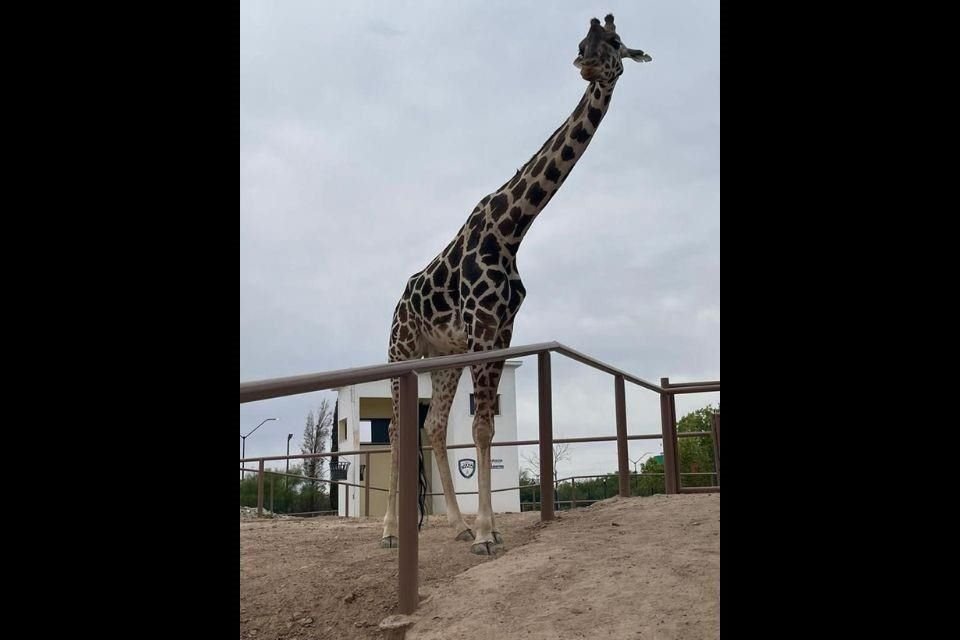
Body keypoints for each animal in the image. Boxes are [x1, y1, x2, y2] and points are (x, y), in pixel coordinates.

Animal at [378, 15, 648, 556]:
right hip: (401, 350)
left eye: (613, 43)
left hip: (442, 359)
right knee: (397, 428)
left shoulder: (502, 330)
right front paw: (487, 533)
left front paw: (481, 529)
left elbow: (480, 428)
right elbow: (481, 427)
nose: (587, 66)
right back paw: (392, 532)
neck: (512, 229)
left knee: (433, 427)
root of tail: (396, 305)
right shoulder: (483, 326)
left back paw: (455, 525)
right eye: (583, 42)